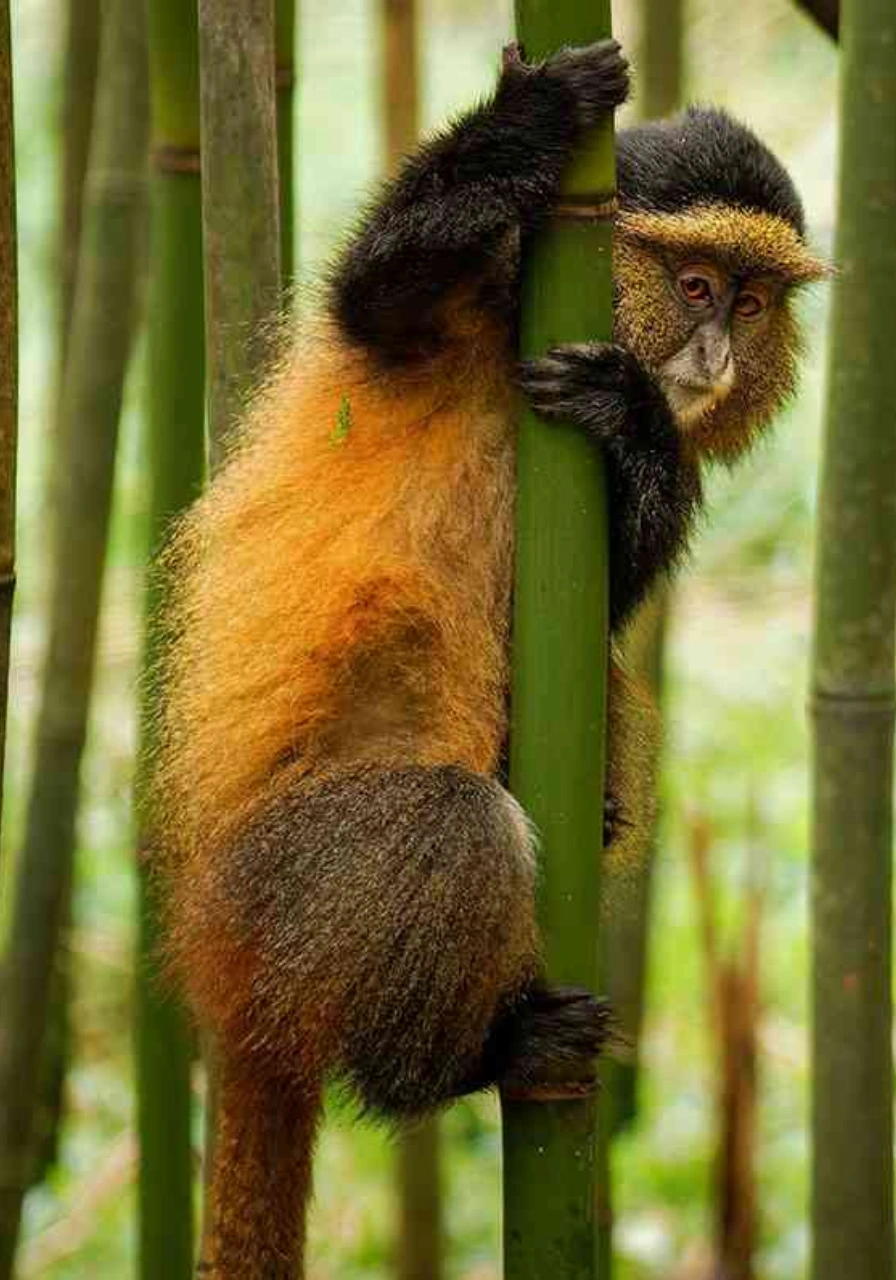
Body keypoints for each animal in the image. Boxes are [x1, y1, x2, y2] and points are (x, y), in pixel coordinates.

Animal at [152, 39, 825, 1279]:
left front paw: (633, 420)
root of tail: (227, 978)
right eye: (694, 286)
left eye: (752, 299)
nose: (714, 351)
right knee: (448, 821)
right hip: (290, 888)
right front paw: (535, 112)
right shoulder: (445, 305)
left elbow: (615, 583)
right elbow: (381, 284)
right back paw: (474, 1060)